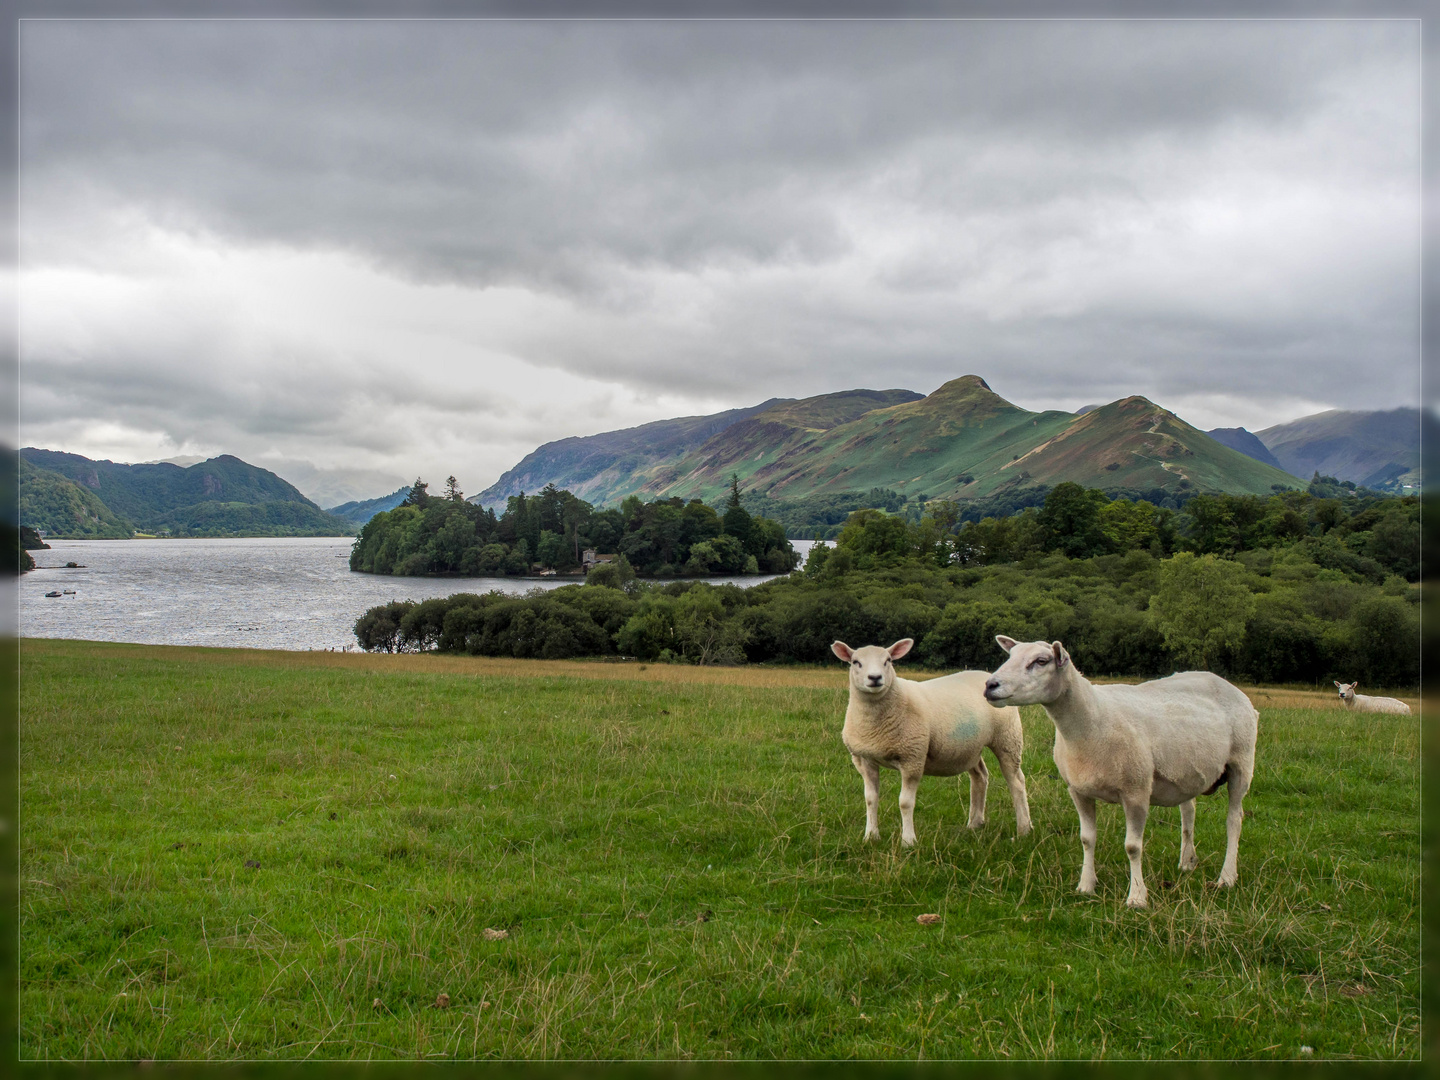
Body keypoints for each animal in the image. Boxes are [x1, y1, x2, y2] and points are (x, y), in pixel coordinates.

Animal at [829, 639, 1031, 852]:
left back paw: (1024, 828)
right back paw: (975, 823)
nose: (875, 678)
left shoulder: (913, 758)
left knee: (1016, 782)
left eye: (888, 660)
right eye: (856, 662)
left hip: (1008, 737)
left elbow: (905, 803)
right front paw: (870, 836)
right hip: (970, 747)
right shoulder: (865, 759)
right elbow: (870, 799)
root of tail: (987, 676)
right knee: (980, 777)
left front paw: (908, 841)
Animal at [984, 639, 1255, 910]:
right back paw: (1187, 862)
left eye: (1041, 661)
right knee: (1189, 812)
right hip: (1186, 770)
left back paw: (1227, 877)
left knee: (1234, 819)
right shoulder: (1078, 790)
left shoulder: (1136, 791)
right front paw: (1086, 885)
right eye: (1010, 655)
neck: (1091, 721)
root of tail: (1224, 682)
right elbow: (1087, 839)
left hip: (1242, 762)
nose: (989, 685)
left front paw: (1137, 897)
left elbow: (1133, 847)